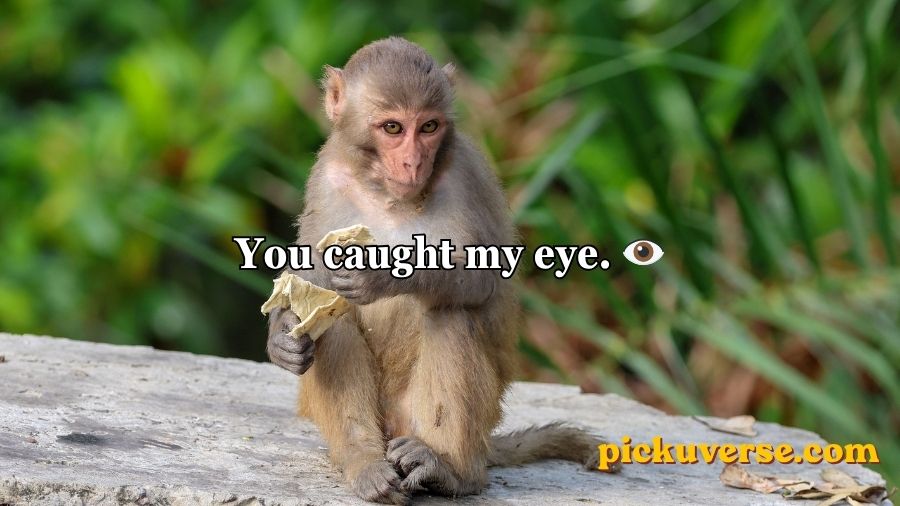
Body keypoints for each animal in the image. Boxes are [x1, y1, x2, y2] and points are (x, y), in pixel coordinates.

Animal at [266, 37, 614, 505]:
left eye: (429, 127)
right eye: (393, 128)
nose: (414, 162)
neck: (388, 194)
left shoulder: (462, 173)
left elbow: (480, 277)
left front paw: (381, 274)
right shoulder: (326, 176)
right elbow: (312, 283)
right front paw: (282, 337)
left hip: (448, 417)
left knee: (451, 315)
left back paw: (448, 470)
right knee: (334, 324)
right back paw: (364, 462)